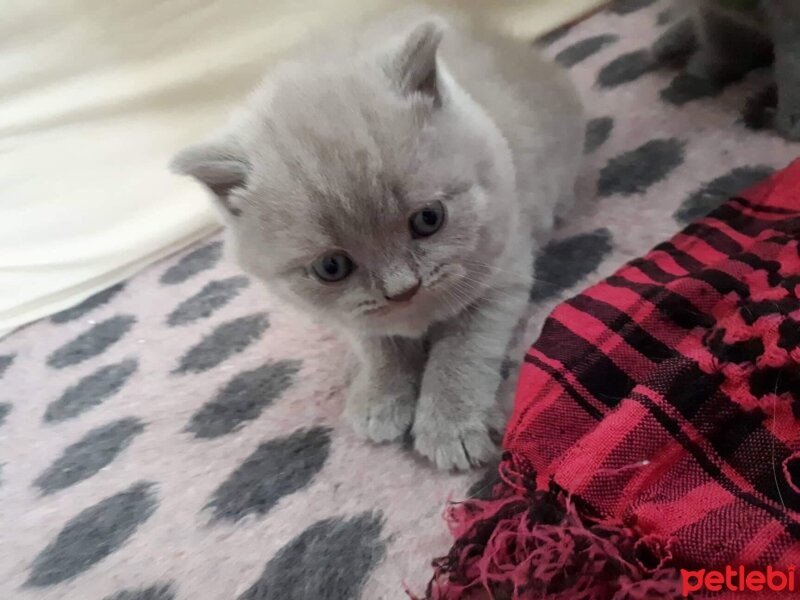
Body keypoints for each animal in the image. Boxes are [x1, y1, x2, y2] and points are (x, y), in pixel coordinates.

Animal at [172, 7, 580, 472]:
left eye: (428, 219)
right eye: (331, 267)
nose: (403, 289)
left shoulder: (503, 268)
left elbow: (462, 349)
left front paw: (451, 426)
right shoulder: (348, 314)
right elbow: (376, 344)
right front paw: (379, 399)